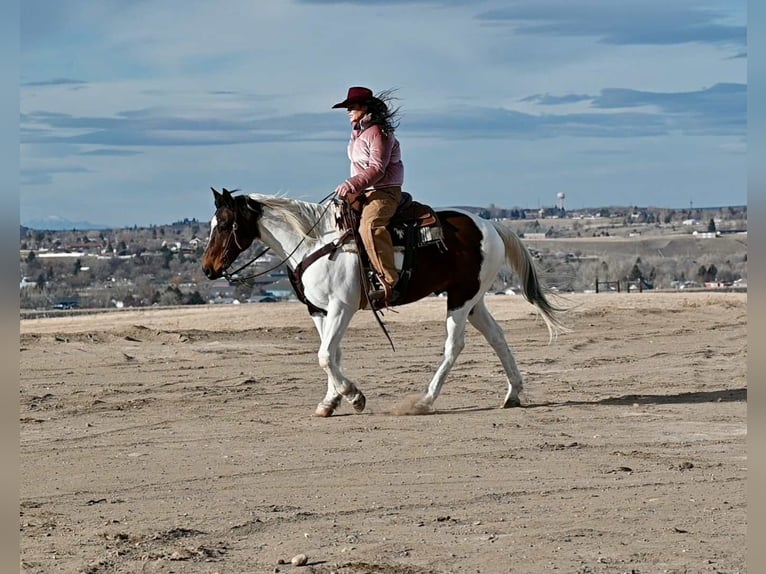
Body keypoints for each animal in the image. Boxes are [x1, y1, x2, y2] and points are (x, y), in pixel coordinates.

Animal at [202, 187, 566, 417]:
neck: (313, 244)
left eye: (225, 224)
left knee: (455, 345)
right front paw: (331, 401)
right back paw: (513, 393)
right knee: (497, 338)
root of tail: (490, 225)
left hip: (461, 299)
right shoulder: (319, 311)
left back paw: (424, 400)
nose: (208, 269)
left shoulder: (342, 307)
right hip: (474, 300)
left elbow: (324, 355)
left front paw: (353, 396)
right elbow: (331, 354)